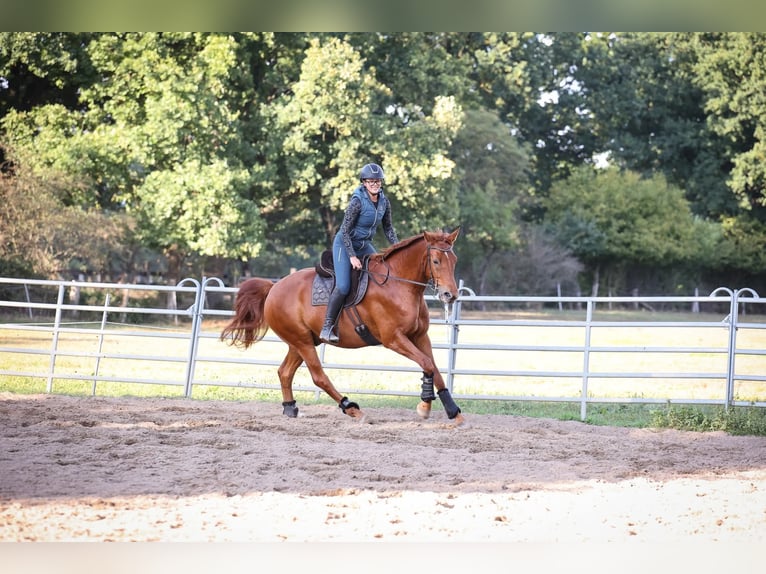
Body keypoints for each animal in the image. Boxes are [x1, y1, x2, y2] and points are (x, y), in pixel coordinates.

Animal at [220, 227, 465, 425]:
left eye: (454, 260)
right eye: (436, 261)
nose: (450, 295)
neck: (398, 285)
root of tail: (273, 287)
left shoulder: (420, 336)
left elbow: (434, 368)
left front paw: (453, 410)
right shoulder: (394, 339)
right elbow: (426, 364)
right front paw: (425, 406)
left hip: (300, 342)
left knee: (285, 372)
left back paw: (291, 408)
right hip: (302, 342)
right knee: (318, 377)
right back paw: (352, 409)